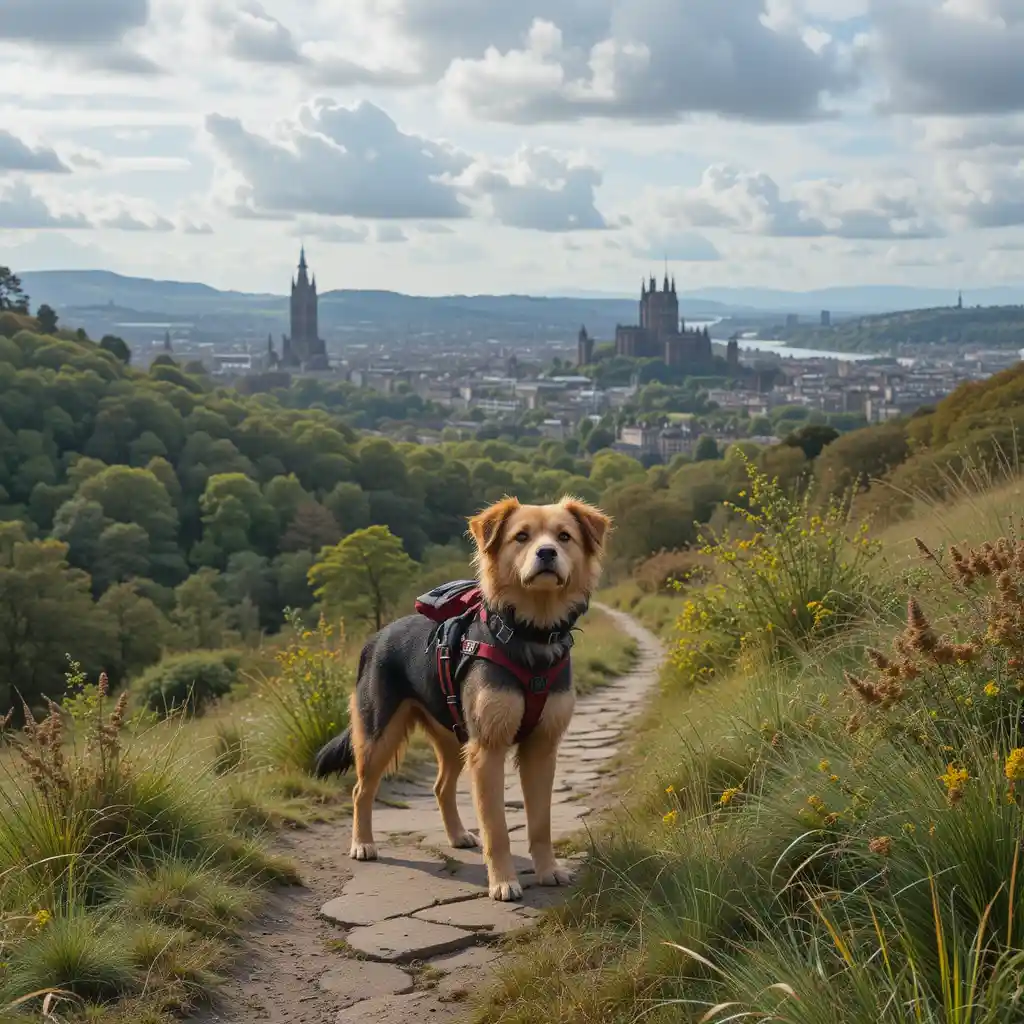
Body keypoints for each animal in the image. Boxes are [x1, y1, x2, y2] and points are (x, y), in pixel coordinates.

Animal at [313, 491, 606, 901]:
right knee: (360, 790)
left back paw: (456, 835)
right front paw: (503, 881)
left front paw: (548, 870)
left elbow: (540, 822)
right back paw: (363, 844)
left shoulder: (542, 747)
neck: (528, 633)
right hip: (379, 735)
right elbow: (497, 827)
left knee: (440, 787)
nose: (546, 553)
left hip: (453, 737)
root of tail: (375, 638)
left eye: (564, 537)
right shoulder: (488, 748)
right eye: (521, 536)